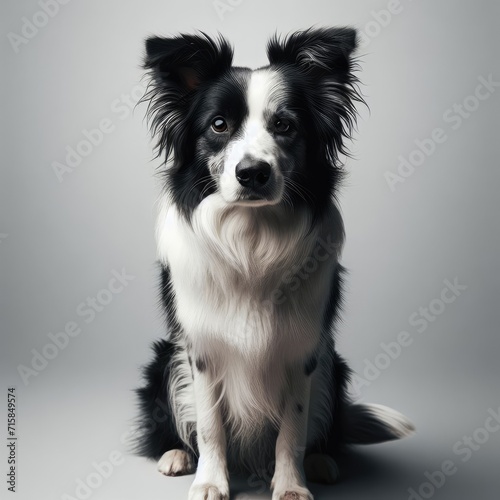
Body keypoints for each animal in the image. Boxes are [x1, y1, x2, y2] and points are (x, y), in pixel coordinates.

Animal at [134, 28, 414, 500]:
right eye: (219, 125)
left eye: (284, 125)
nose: (253, 173)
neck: (251, 238)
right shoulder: (201, 350)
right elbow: (209, 425)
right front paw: (210, 482)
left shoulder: (302, 350)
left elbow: (292, 429)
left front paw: (291, 485)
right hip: (164, 359)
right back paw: (175, 454)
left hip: (333, 365)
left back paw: (321, 460)